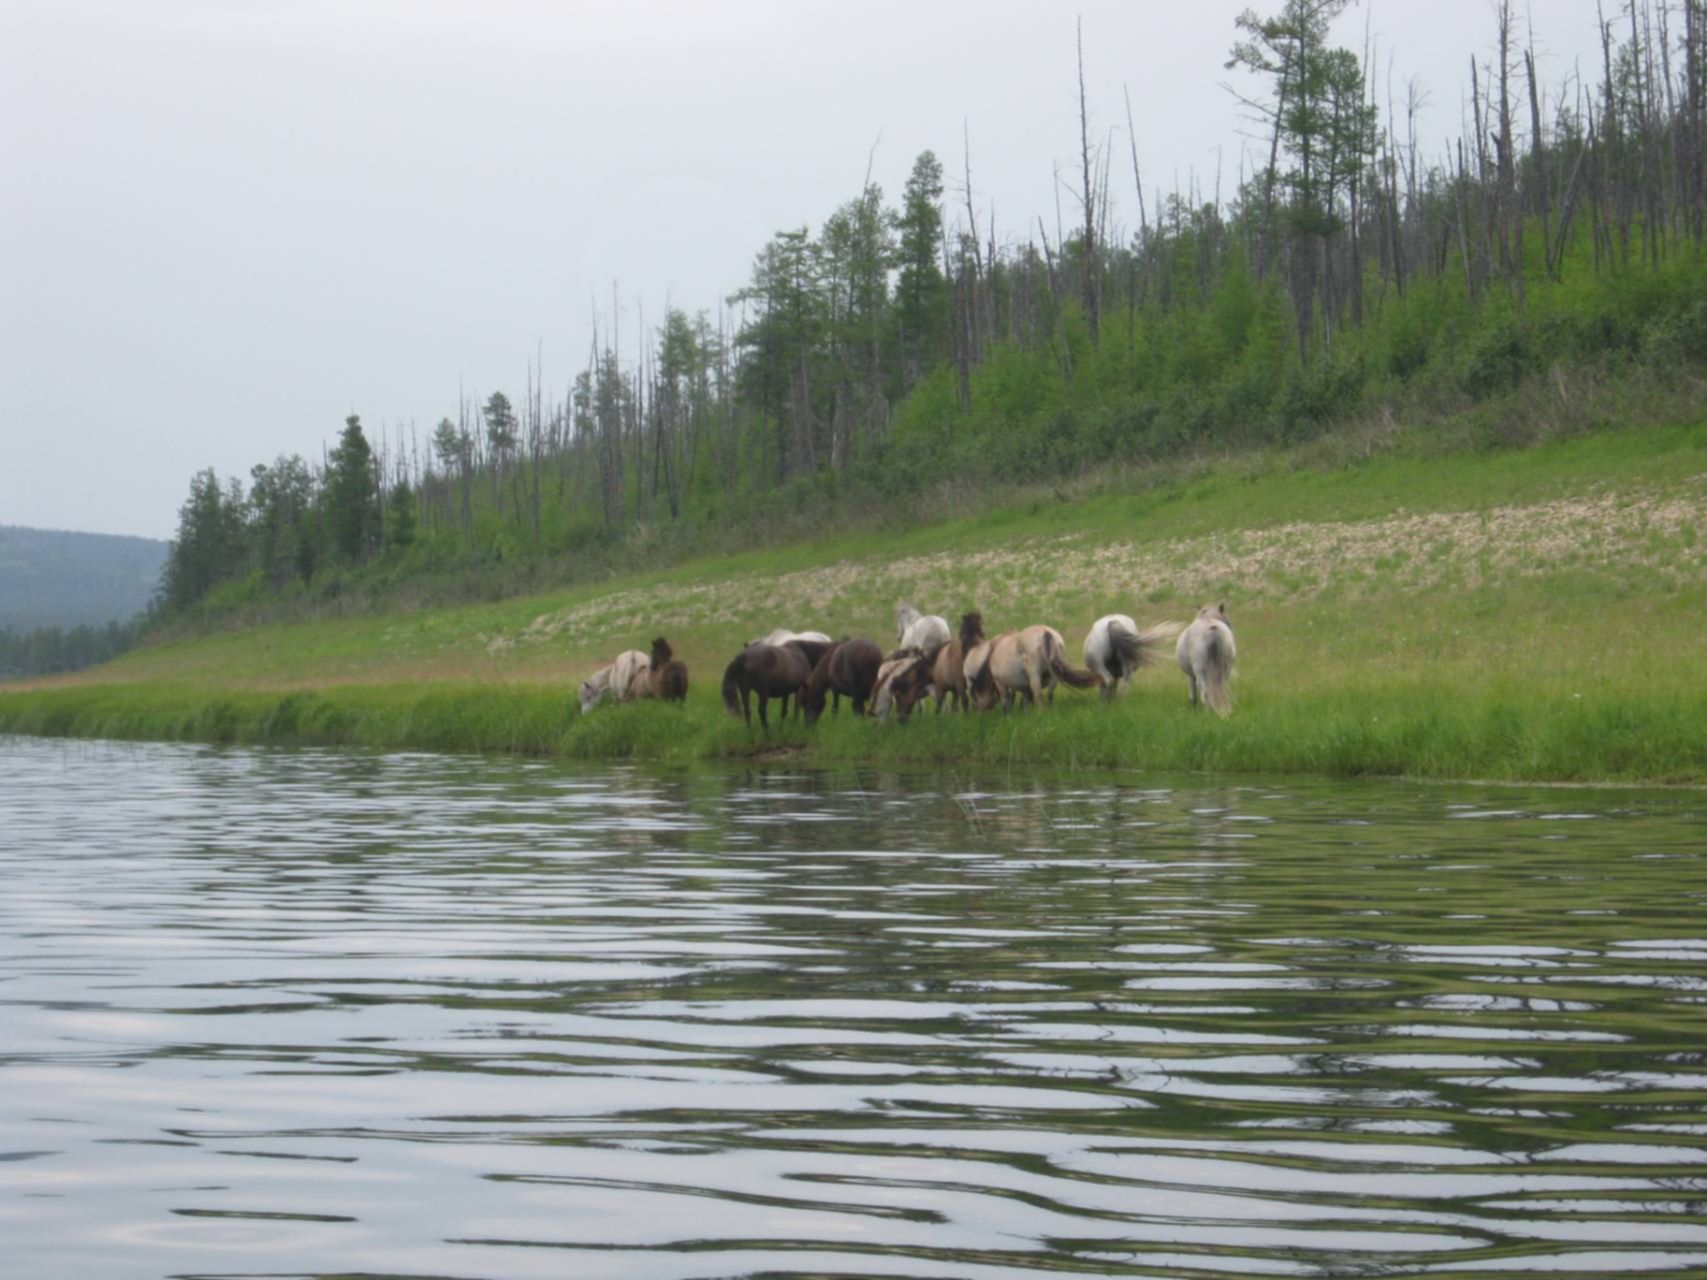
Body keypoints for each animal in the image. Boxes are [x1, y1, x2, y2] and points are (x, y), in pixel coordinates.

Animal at [969, 628, 1099, 716]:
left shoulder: (1000, 683)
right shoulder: (1024, 686)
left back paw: (1040, 714)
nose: (975, 711)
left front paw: (1008, 717)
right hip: (1053, 676)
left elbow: (1007, 701)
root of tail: (1045, 632)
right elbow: (1024, 701)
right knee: (1049, 694)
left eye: (975, 695)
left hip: (1035, 676)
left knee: (1038, 695)